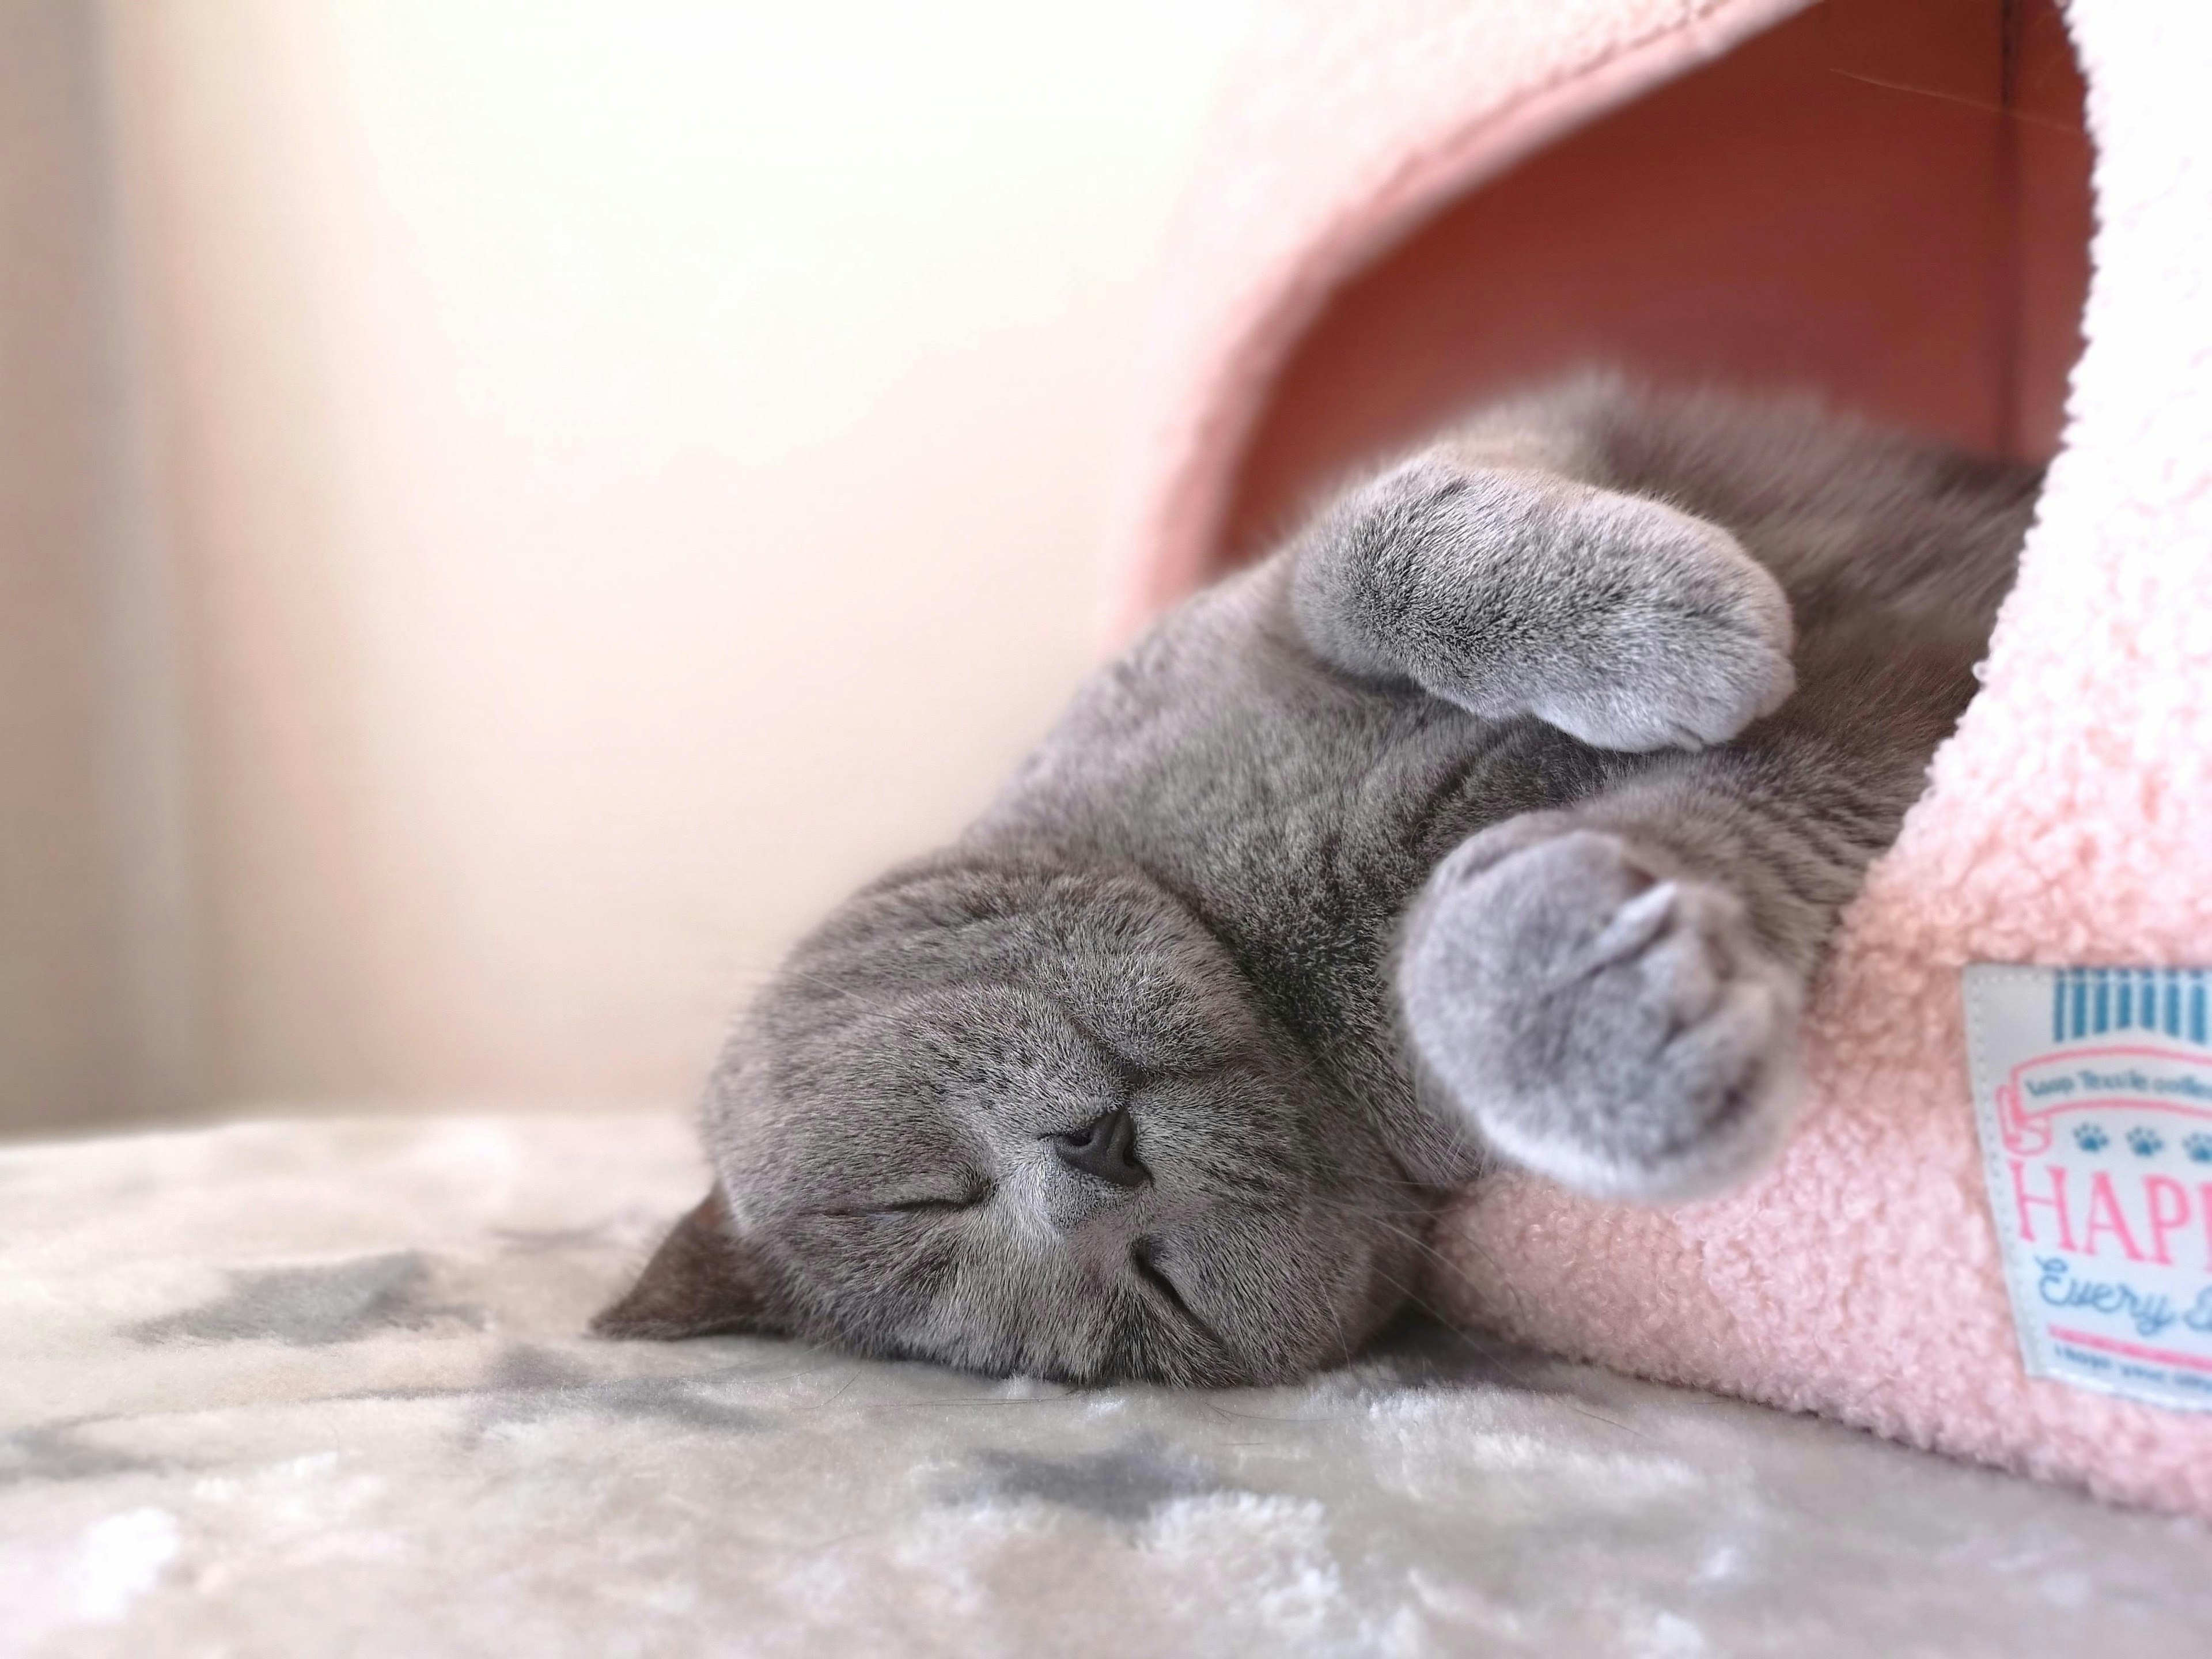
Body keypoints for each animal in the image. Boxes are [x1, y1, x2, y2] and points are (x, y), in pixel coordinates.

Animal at [601, 373, 2035, 1389]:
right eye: (1156, 1288)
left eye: (920, 1192)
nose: (1091, 1162)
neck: (1260, 955)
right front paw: (1598, 1011)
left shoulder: (1296, 579)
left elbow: (1374, 546)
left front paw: (1682, 626)